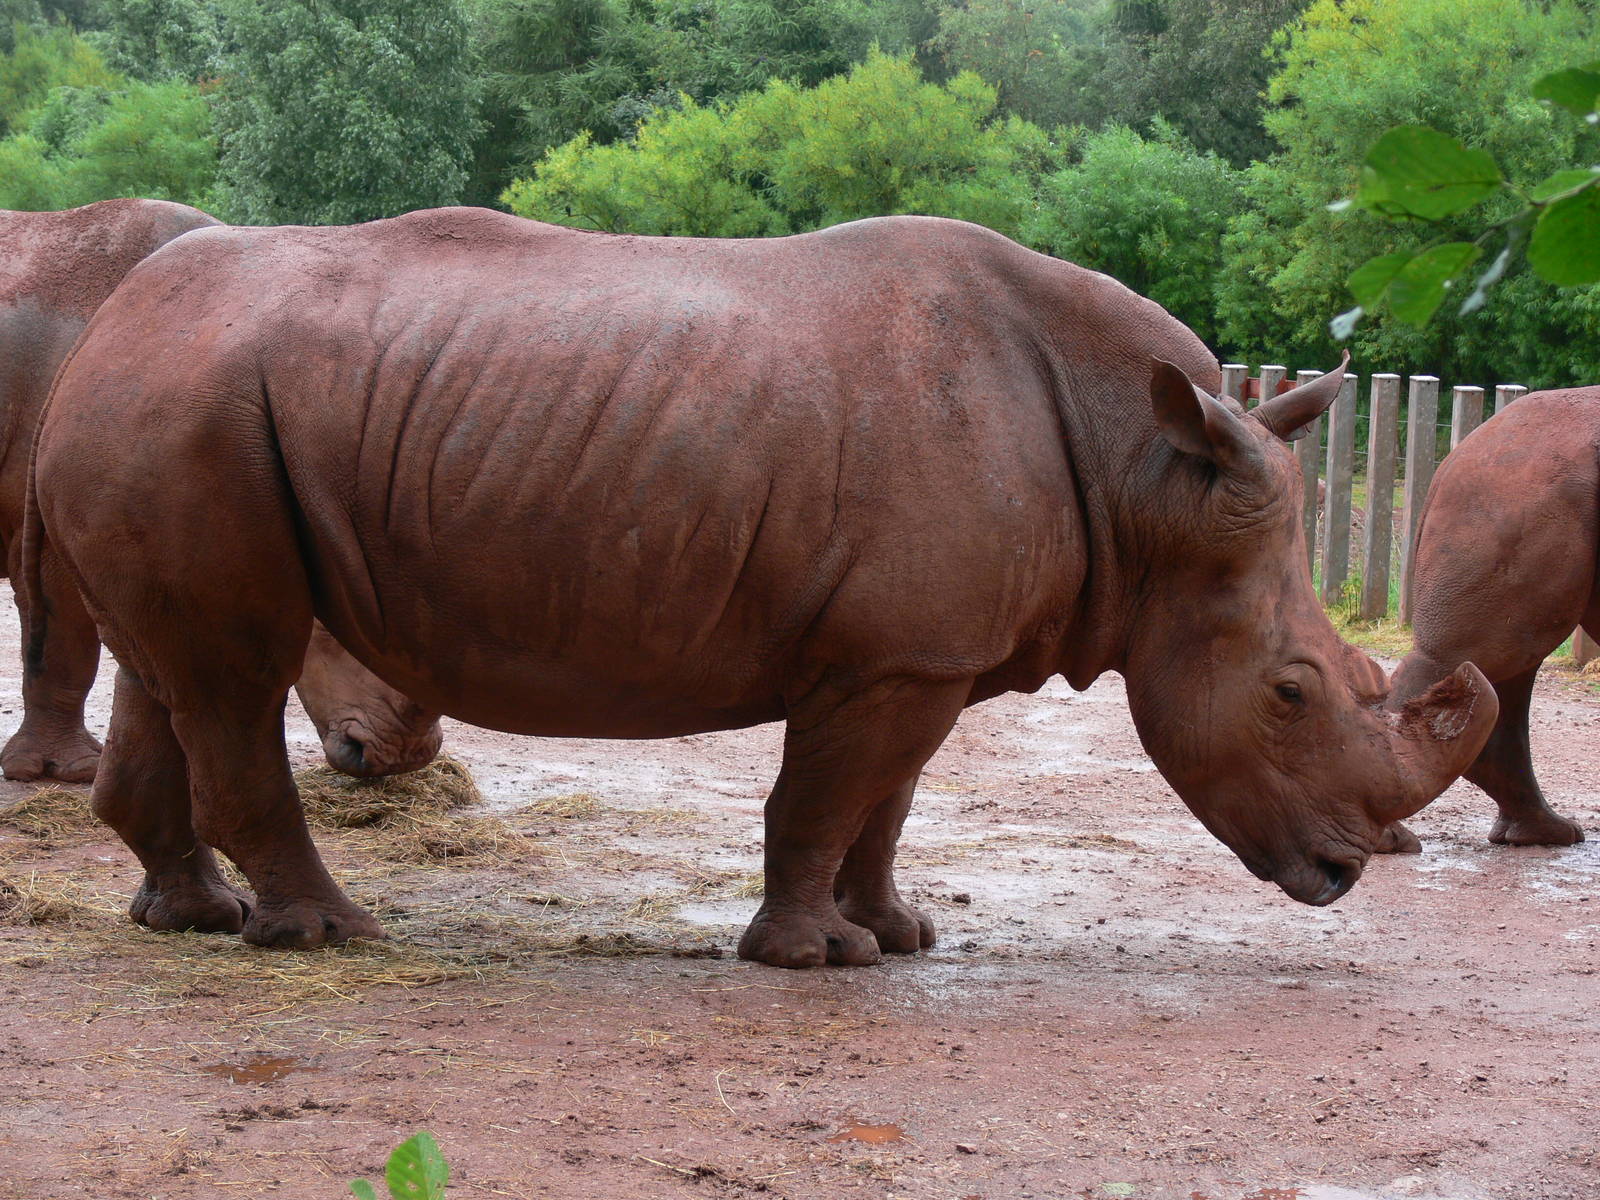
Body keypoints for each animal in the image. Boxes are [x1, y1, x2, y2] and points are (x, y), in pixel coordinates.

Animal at [1385, 388, 1596, 852]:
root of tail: (1455, 457)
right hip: (1522, 492)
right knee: (1480, 654)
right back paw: (1388, 839)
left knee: (1507, 667)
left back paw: (1541, 835)